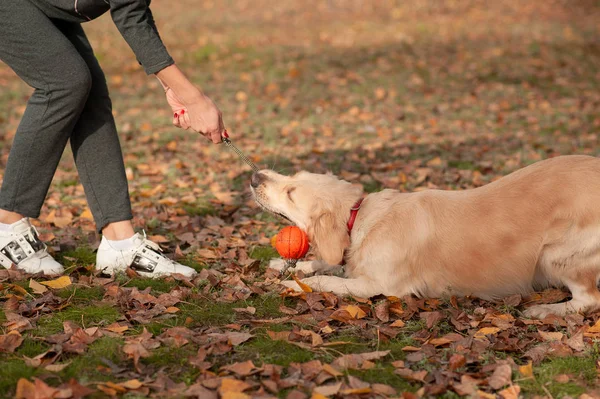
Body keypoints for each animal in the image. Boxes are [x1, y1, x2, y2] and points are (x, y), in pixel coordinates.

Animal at [251, 155, 600, 320]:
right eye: (293, 176)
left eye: (291, 192)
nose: (255, 176)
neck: (360, 216)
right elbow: (328, 264)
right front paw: (286, 265)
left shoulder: (382, 286)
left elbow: (330, 279)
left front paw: (295, 283)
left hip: (555, 253)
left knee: (589, 299)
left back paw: (546, 310)